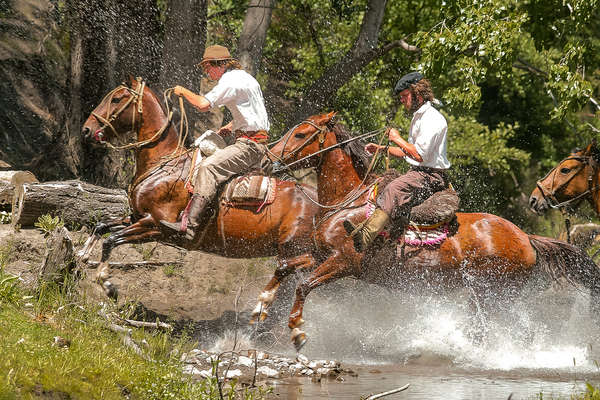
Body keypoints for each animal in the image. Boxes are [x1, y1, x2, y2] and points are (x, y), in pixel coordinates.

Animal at [82, 78, 322, 322]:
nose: (87, 129)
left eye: (116, 99)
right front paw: (83, 253)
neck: (164, 163)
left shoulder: (155, 225)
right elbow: (102, 226)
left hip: (298, 249)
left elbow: (111, 240)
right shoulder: (136, 217)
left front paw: (107, 283)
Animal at [270, 111, 600, 350]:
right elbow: (285, 267)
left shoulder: (343, 262)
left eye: (300, 134)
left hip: (492, 294)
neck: (349, 201)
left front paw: (297, 333)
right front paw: (262, 304)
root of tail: (527, 239)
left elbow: (303, 286)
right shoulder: (319, 255)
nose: (270, 159)